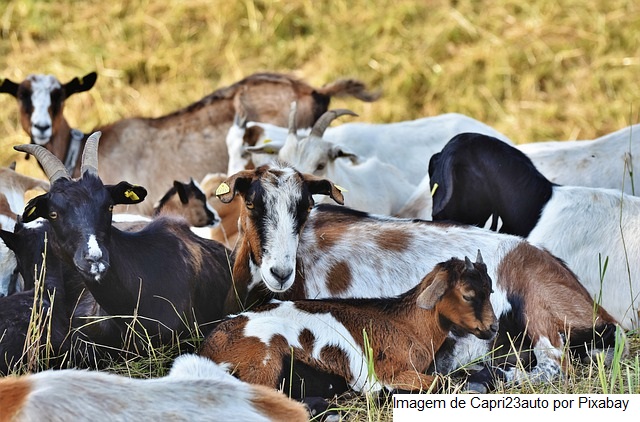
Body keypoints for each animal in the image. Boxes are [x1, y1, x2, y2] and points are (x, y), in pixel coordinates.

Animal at [200, 254, 497, 399]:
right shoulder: (388, 374)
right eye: (468, 294)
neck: (407, 324)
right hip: (265, 362)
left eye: (491, 290)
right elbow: (442, 381)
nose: (493, 328)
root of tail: (209, 350)